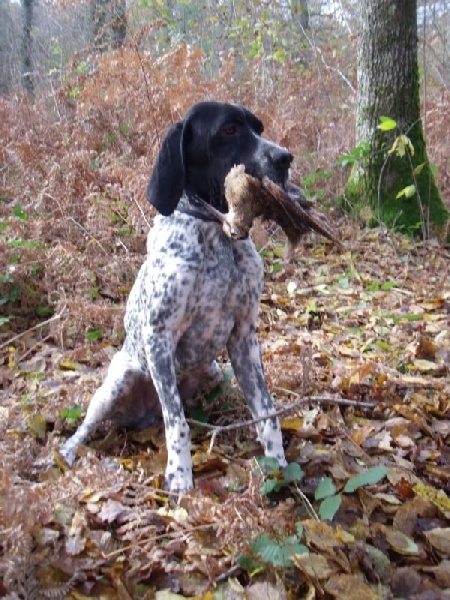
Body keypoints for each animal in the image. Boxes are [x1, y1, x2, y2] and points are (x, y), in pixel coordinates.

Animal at [60, 99, 292, 492]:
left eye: (258, 127)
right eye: (229, 129)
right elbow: (177, 423)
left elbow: (266, 411)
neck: (217, 236)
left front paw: (279, 464)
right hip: (116, 384)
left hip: (213, 370)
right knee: (90, 426)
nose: (285, 158)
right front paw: (181, 476)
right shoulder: (159, 338)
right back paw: (66, 452)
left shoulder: (244, 336)